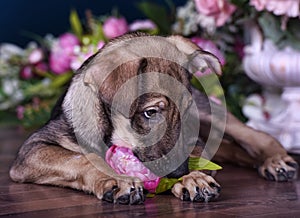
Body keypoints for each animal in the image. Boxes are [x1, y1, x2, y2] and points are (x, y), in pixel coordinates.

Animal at [8, 32, 298, 204]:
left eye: (186, 112)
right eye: (150, 112)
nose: (179, 173)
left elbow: (198, 155)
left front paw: (193, 178)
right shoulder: (32, 149)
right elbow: (80, 158)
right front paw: (118, 179)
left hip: (211, 113)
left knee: (255, 136)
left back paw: (276, 161)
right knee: (231, 150)